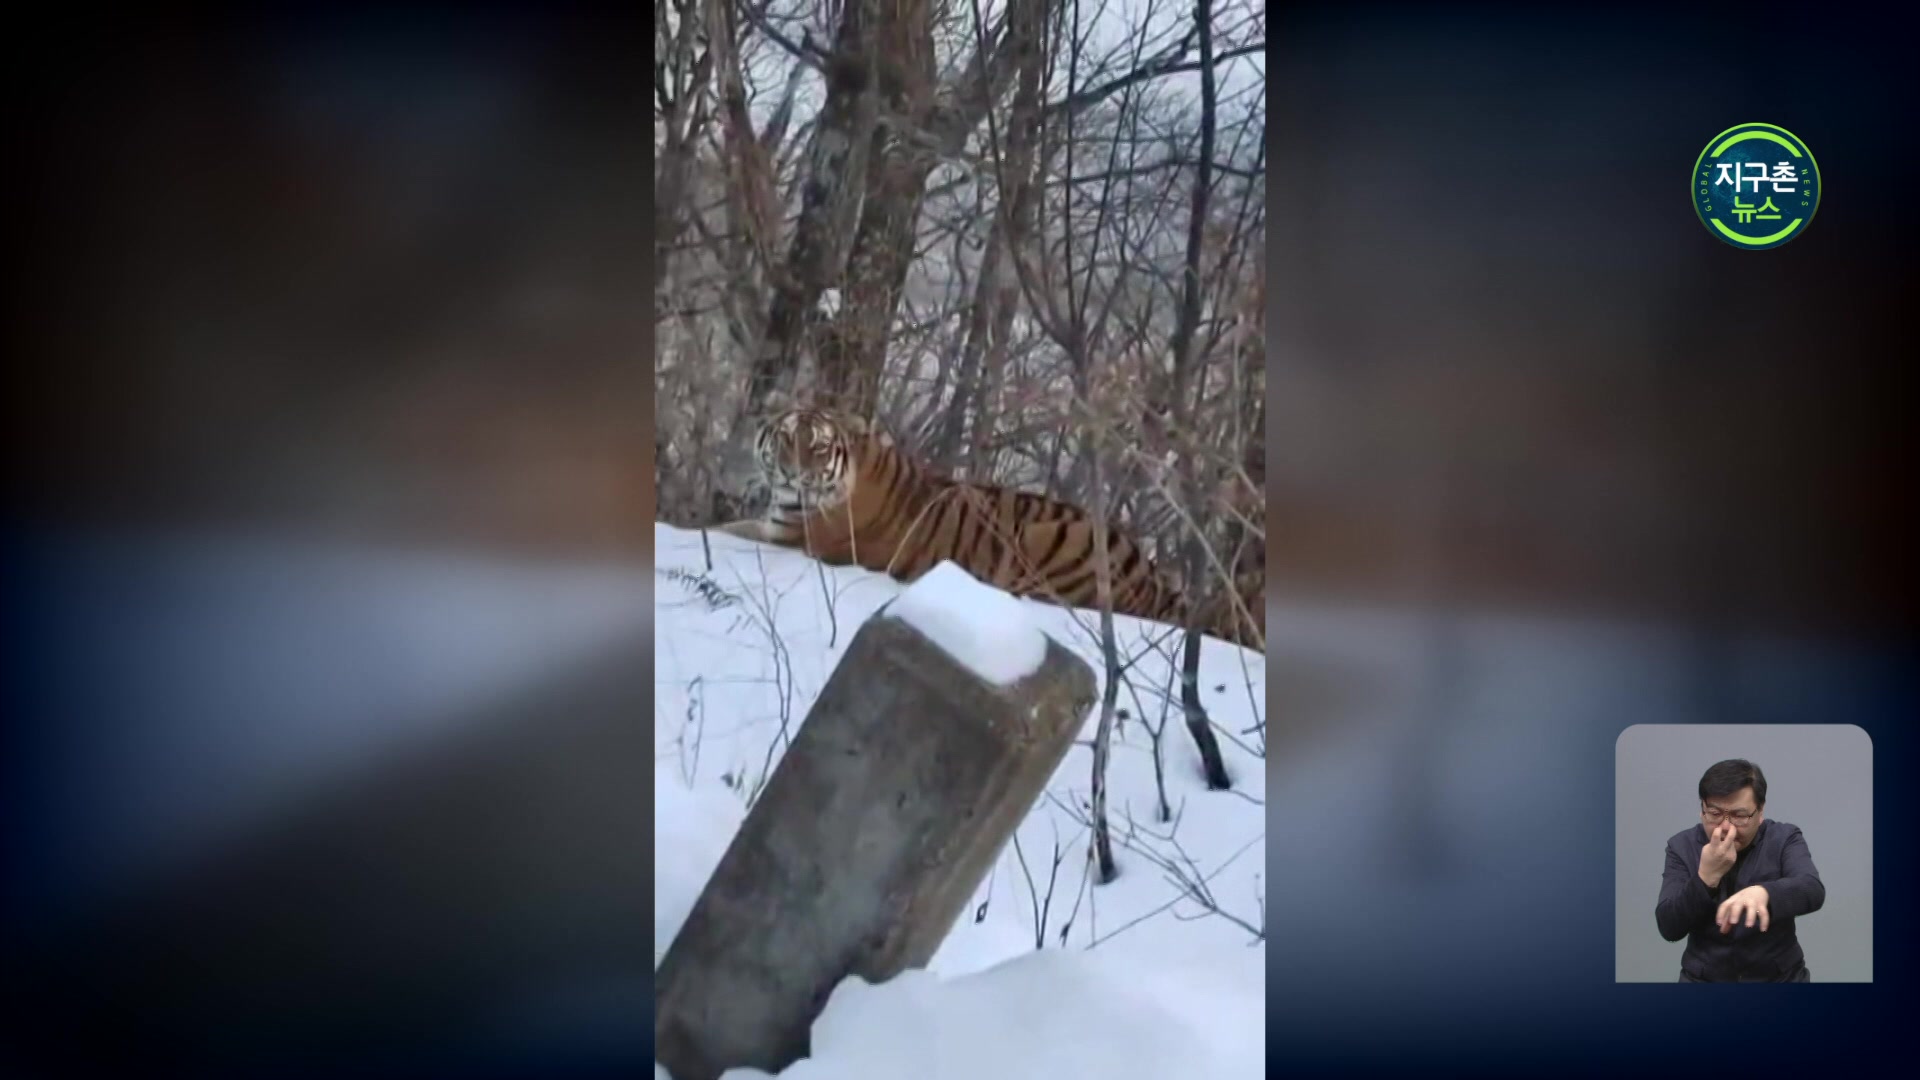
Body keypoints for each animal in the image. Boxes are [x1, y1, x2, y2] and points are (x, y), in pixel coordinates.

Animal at [714, 403, 1267, 653]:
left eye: (818, 447)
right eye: (786, 440)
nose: (792, 473)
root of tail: (1154, 578)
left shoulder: (790, 538)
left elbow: (723, 529)